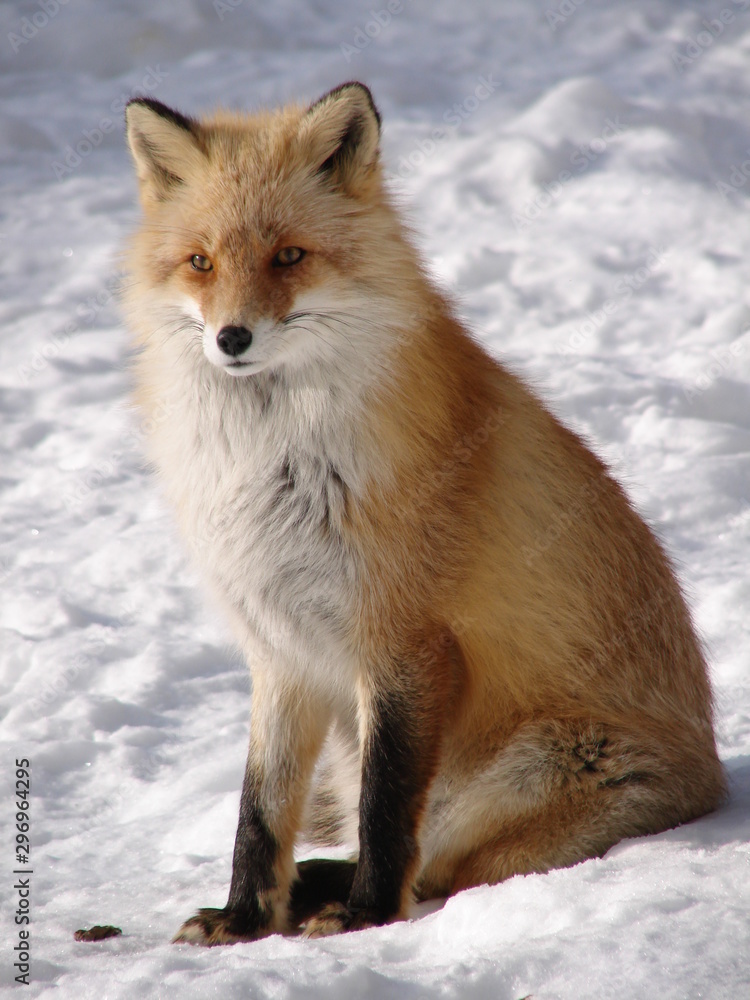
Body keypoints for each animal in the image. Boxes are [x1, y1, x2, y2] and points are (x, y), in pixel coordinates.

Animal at [123, 80, 728, 944]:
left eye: (288, 256)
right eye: (200, 262)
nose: (231, 337)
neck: (275, 470)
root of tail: (713, 786)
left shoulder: (404, 641)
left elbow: (386, 809)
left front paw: (365, 916)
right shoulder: (281, 653)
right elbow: (259, 811)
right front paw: (243, 919)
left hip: (525, 774)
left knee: (439, 862)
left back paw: (345, 894)